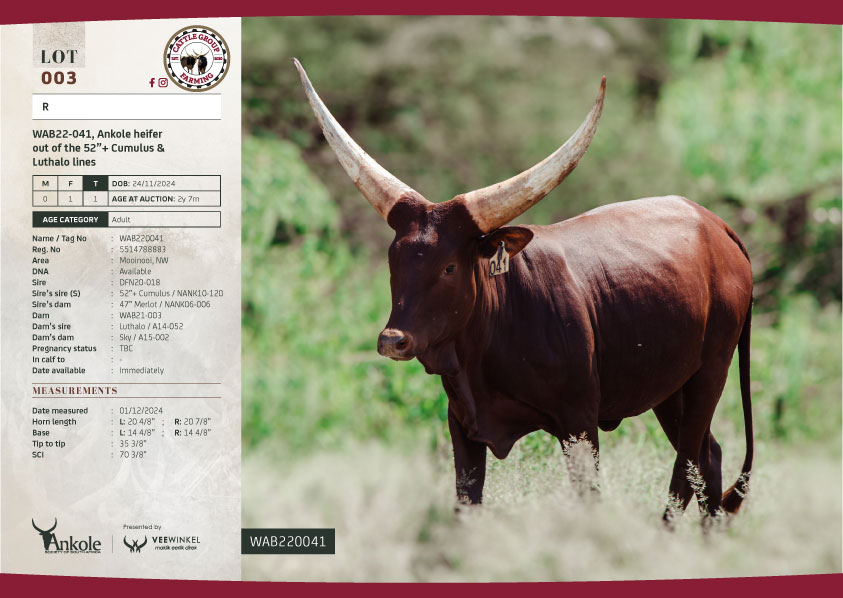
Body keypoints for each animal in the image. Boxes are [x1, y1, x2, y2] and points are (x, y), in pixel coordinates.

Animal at [293, 58, 754, 520]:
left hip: (711, 371)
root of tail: (716, 225)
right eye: (395, 261)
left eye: (449, 267)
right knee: (708, 459)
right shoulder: (462, 425)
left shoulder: (579, 423)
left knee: (686, 469)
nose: (393, 340)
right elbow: (466, 504)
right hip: (671, 387)